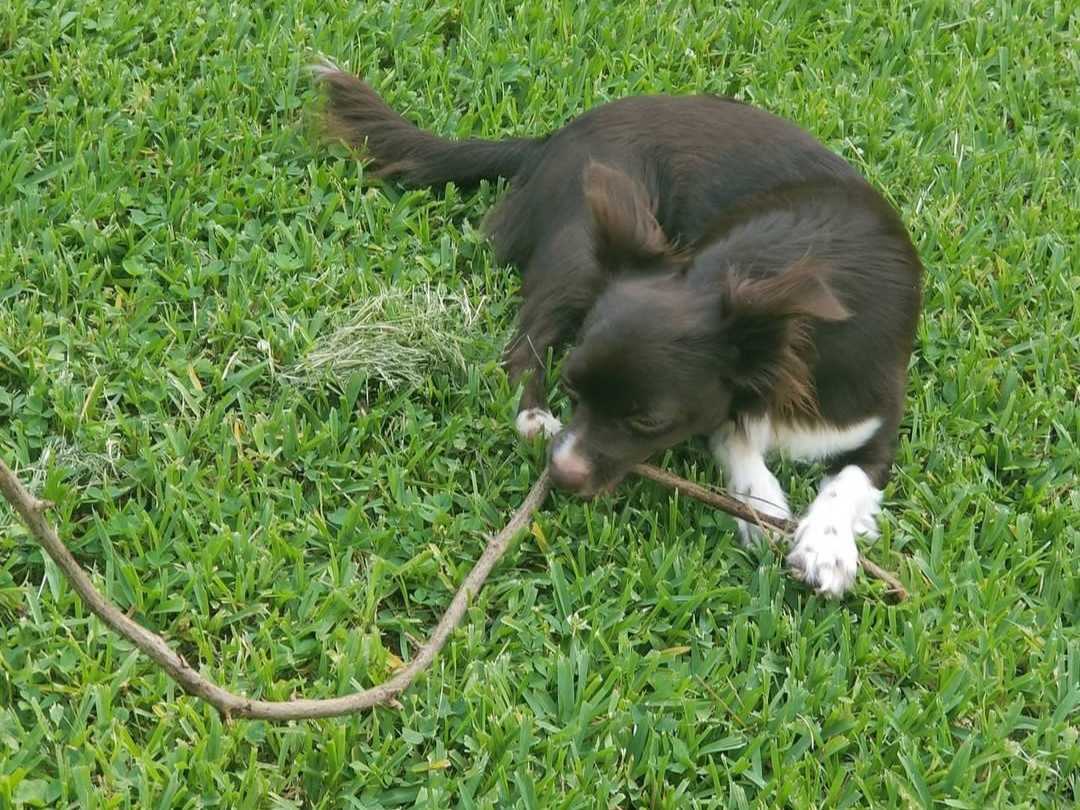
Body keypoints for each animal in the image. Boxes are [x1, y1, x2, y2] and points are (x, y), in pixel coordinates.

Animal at [311, 61, 920, 596]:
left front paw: (826, 545)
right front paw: (764, 504)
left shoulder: (877, 424)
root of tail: (550, 139)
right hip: (581, 247)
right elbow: (738, 439)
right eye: (574, 390)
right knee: (524, 341)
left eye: (647, 420)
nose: (559, 474)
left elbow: (848, 480)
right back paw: (532, 416)